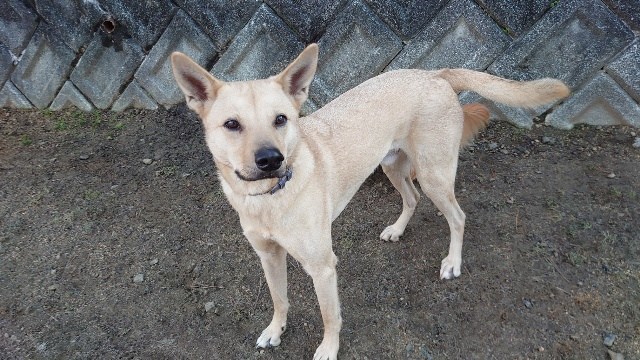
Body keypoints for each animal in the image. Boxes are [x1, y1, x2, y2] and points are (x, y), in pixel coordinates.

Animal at [171, 43, 568, 358]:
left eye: (281, 119)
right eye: (232, 124)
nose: (271, 159)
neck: (269, 196)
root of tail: (434, 73)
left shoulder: (323, 267)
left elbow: (330, 316)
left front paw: (328, 349)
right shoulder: (268, 255)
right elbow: (278, 298)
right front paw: (275, 330)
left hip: (434, 174)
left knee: (458, 216)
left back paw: (452, 263)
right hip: (393, 165)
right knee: (412, 198)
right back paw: (397, 230)